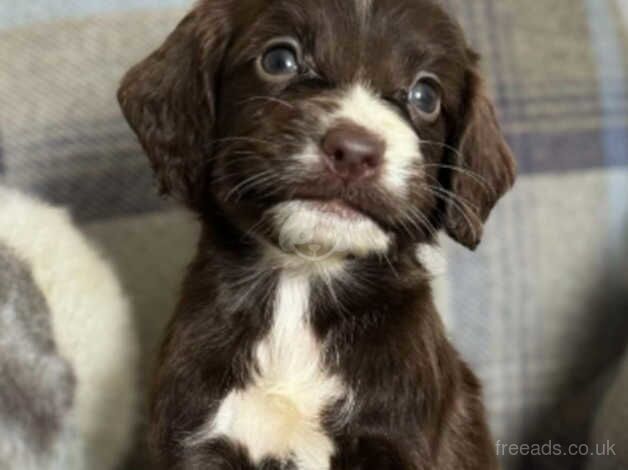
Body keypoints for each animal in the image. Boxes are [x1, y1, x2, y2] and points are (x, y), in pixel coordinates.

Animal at [118, 0, 516, 470]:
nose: (355, 152)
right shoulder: (194, 436)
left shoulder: (396, 436)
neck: (302, 275)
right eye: (279, 59)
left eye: (426, 96)